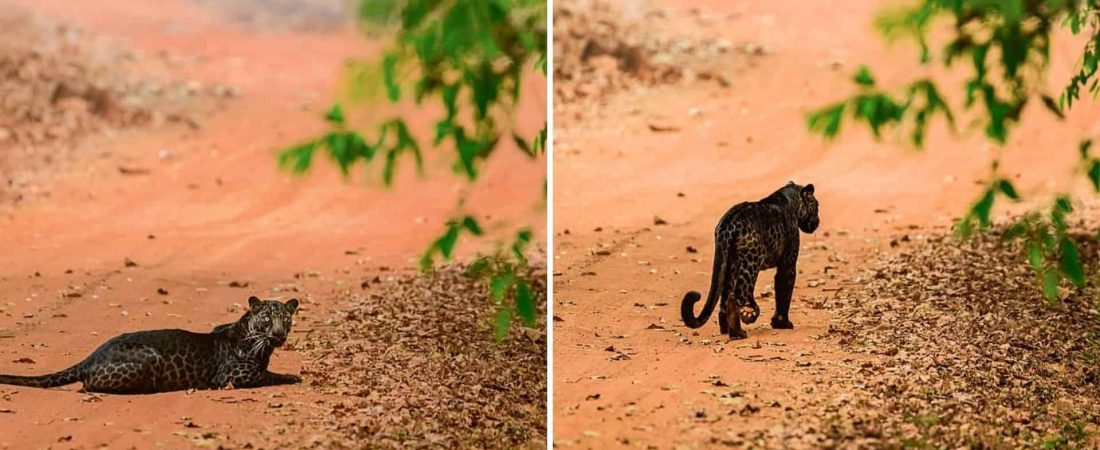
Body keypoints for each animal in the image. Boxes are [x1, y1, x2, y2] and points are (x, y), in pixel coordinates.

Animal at [0, 294, 301, 391]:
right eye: (267, 319)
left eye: (286, 320)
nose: (279, 334)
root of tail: (93, 355)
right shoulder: (231, 377)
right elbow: (267, 375)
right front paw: (293, 376)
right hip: (148, 358)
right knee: (88, 385)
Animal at [677, 180, 818, 338]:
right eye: (817, 206)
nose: (817, 222)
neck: (792, 200)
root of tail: (726, 226)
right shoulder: (788, 263)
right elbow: (784, 291)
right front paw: (782, 324)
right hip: (751, 263)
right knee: (739, 294)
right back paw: (744, 322)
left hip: (729, 264)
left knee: (726, 297)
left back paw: (729, 329)